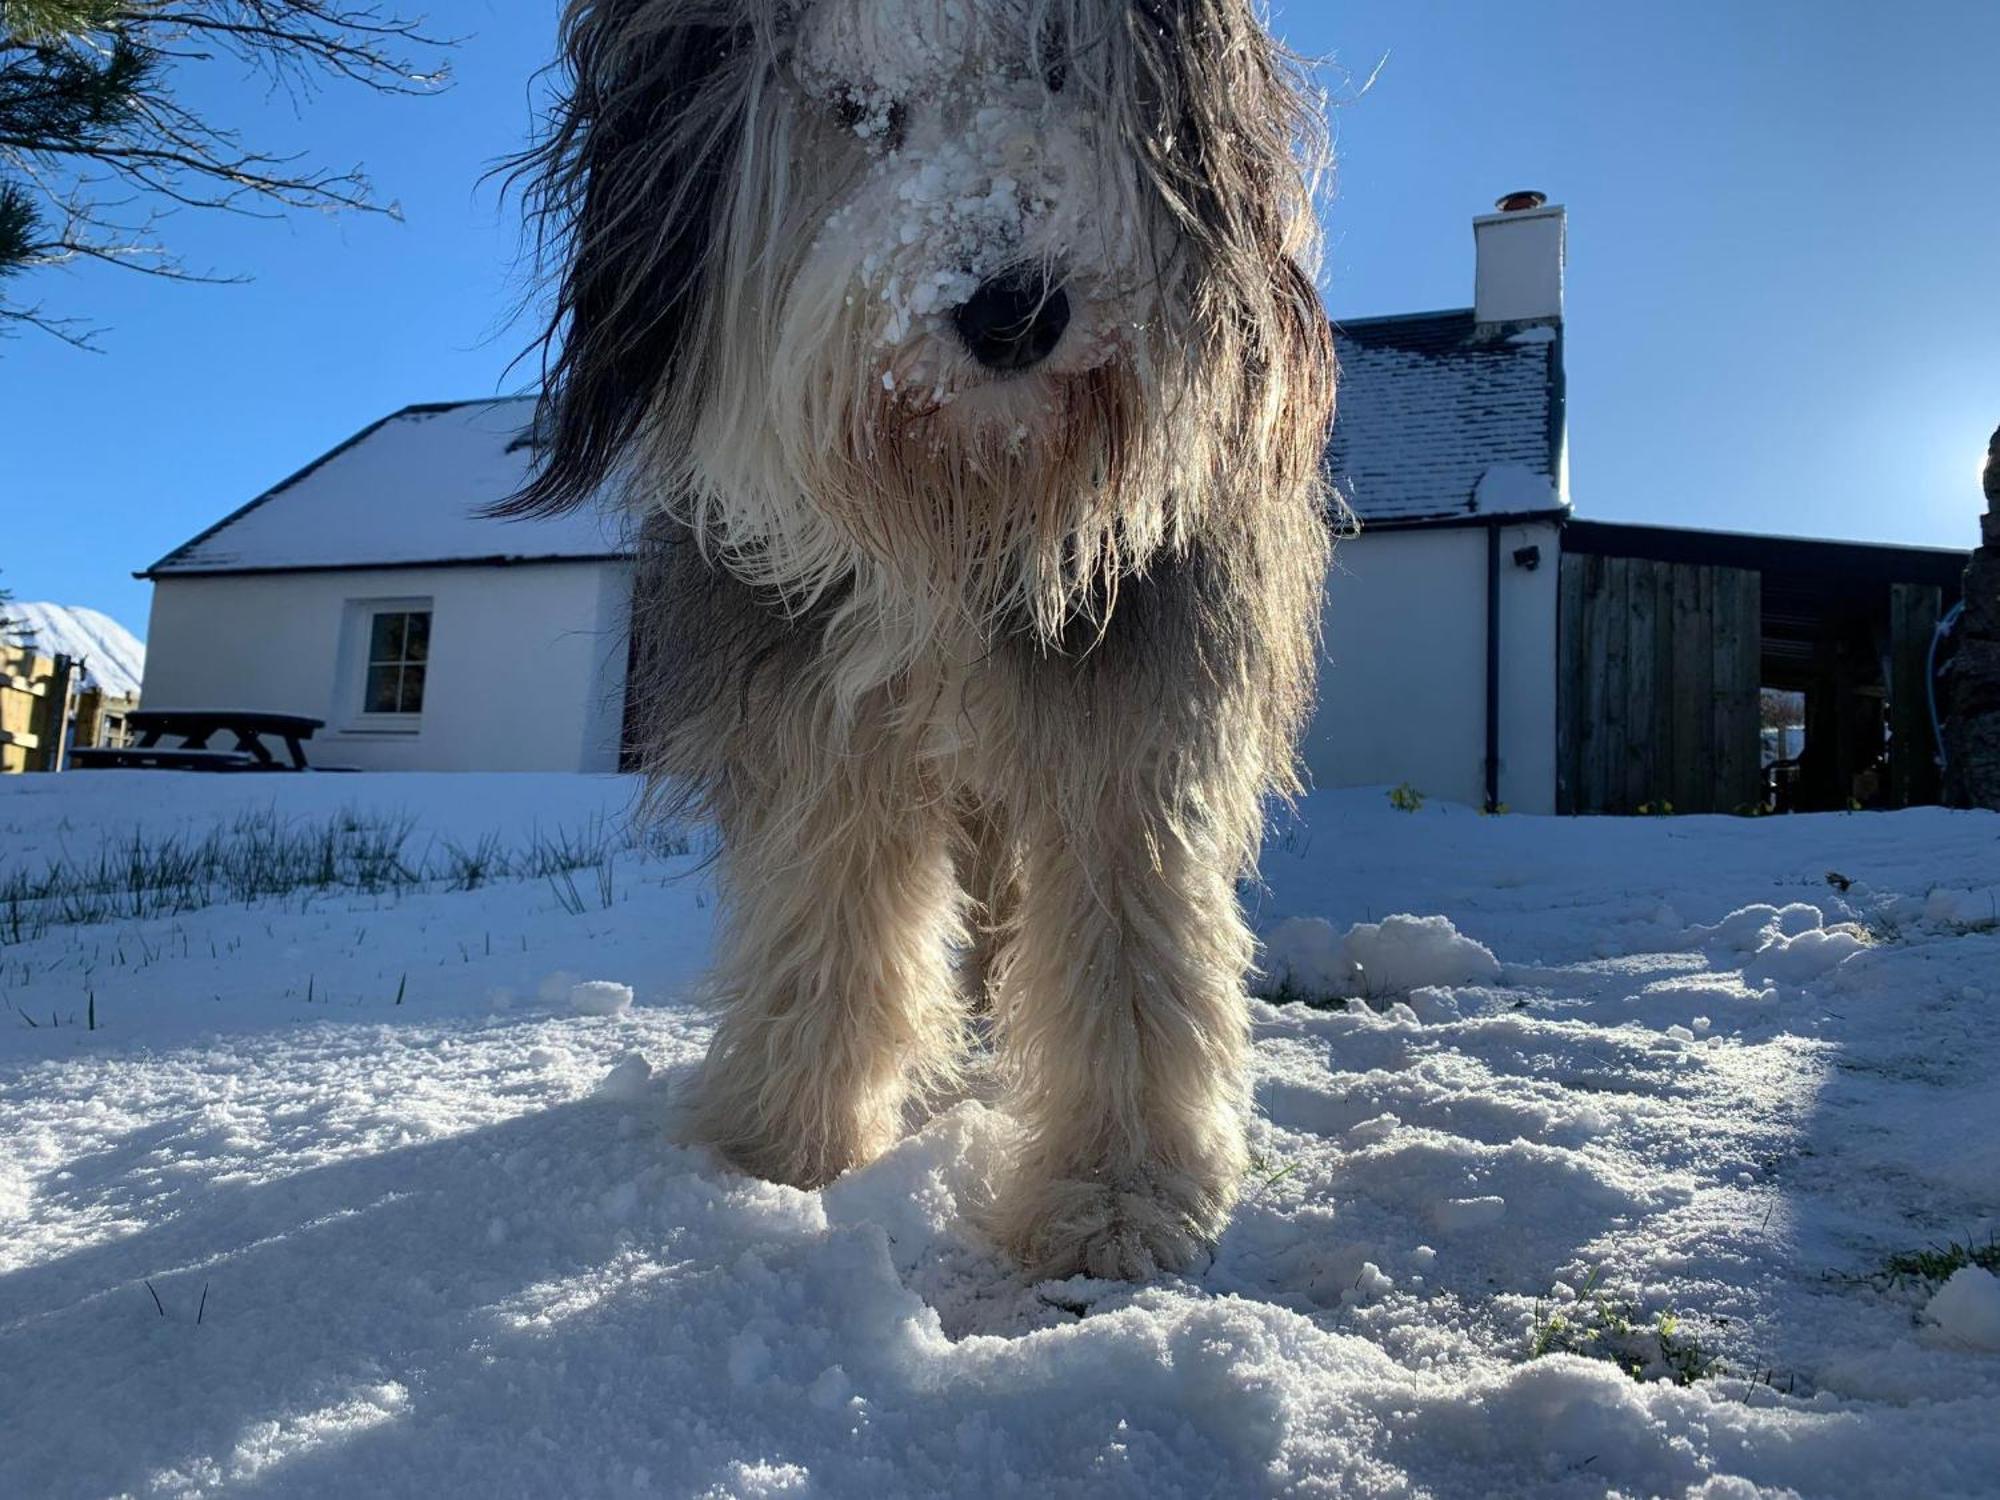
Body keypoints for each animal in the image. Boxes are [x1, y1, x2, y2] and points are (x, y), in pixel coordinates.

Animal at [508, 0, 1336, 1280]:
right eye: (852, 106)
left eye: (1055, 67)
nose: (1011, 309)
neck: (961, 508)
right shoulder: (815, 705)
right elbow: (828, 908)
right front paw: (783, 1155)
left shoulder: (1128, 706)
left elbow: (1129, 937)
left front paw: (1115, 1199)